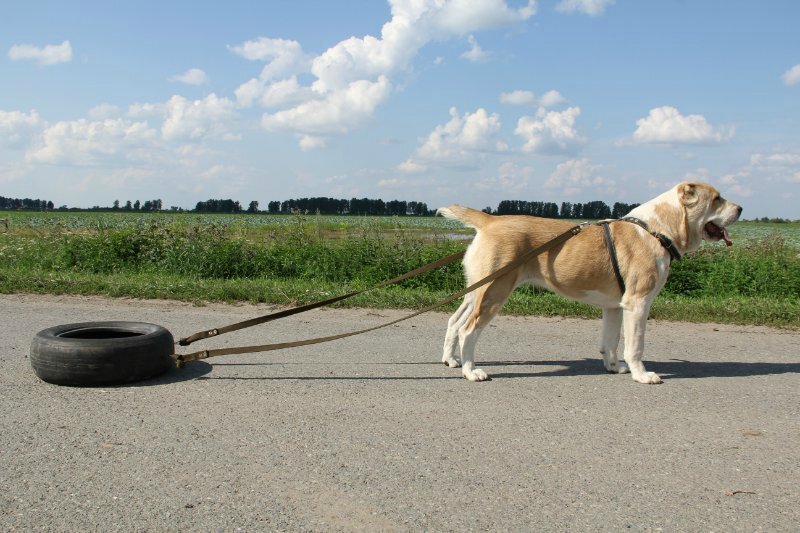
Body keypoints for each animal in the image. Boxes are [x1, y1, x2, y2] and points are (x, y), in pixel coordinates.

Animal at [438, 182, 744, 382]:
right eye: (717, 199)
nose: (741, 208)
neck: (657, 230)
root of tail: (490, 220)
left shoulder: (614, 306)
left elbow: (610, 340)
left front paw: (614, 367)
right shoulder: (638, 303)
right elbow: (635, 345)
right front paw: (642, 375)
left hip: (477, 290)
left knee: (454, 320)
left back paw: (452, 360)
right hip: (494, 291)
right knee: (468, 330)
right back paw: (471, 371)